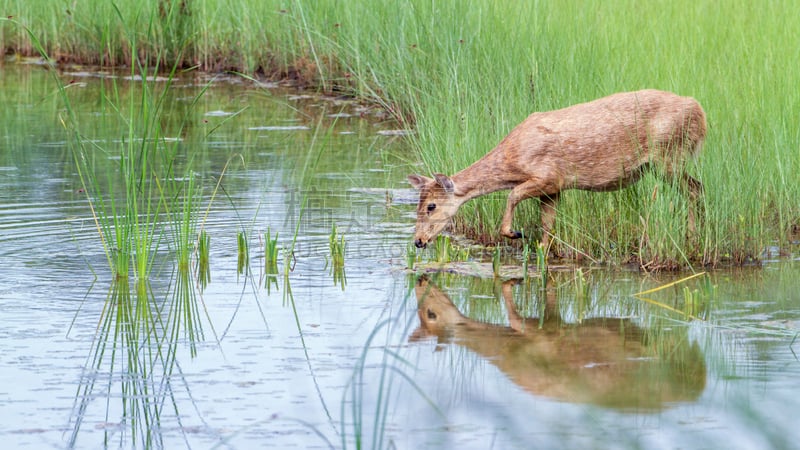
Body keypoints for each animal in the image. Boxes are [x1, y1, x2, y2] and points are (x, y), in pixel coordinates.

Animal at [406, 89, 708, 250]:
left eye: (431, 206)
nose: (418, 240)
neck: (513, 160)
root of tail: (700, 112)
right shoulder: (554, 190)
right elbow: (547, 224)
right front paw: (541, 250)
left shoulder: (549, 176)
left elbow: (512, 195)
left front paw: (513, 233)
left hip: (668, 155)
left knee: (696, 188)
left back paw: (692, 237)